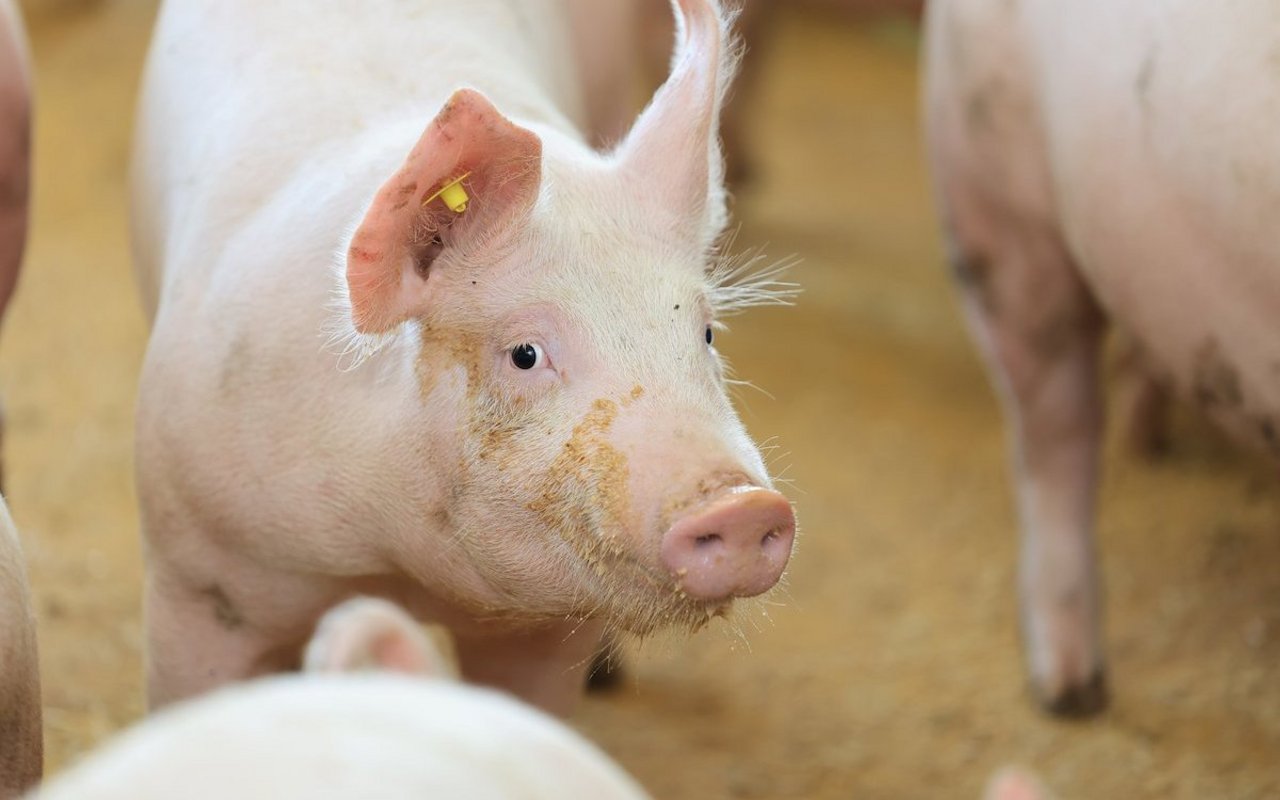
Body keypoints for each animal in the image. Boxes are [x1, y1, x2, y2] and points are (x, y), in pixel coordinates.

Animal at [127, 0, 788, 716]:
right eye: (525, 354)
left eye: (706, 333)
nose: (744, 505)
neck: (398, 560)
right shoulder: (196, 577)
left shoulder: (541, 636)